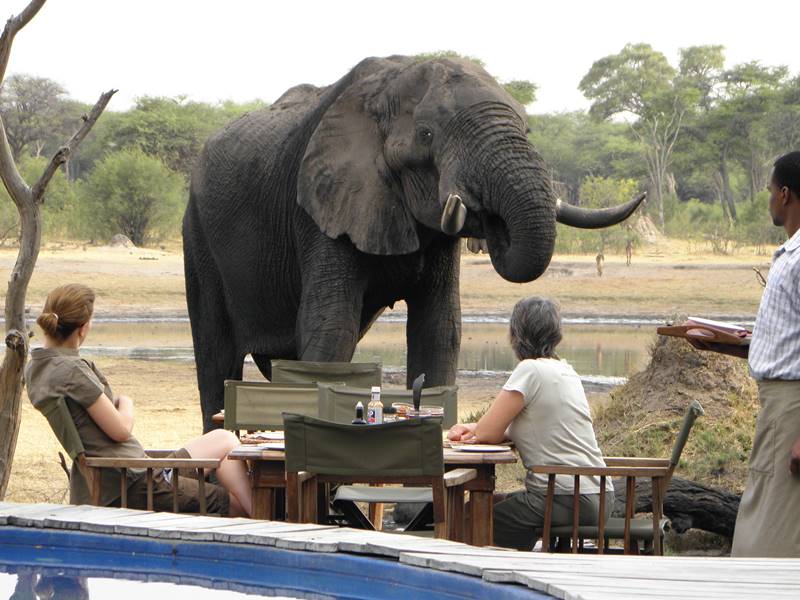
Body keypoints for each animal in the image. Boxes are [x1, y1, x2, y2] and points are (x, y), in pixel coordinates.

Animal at [183, 55, 644, 432]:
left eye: (527, 129)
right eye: (426, 134)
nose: (488, 216)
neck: (385, 90)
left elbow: (440, 328)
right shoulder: (320, 207)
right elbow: (332, 327)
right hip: (198, 232)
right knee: (216, 354)